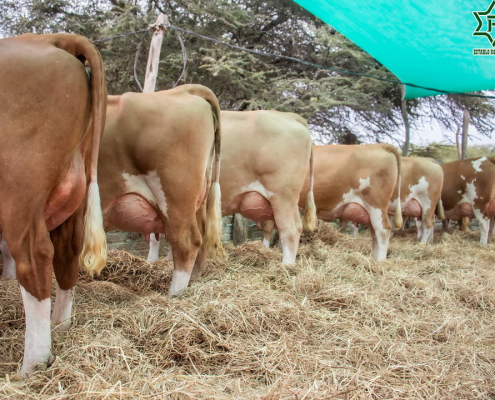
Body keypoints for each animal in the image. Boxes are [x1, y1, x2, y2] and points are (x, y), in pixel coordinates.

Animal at [0, 33, 108, 376]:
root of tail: (52, 38)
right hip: (75, 191)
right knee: (67, 252)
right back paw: (61, 325)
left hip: (19, 190)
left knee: (34, 258)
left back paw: (31, 366)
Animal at [99, 85, 223, 296]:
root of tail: (183, 90)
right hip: (199, 198)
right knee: (202, 237)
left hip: (174, 197)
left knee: (186, 242)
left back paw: (174, 295)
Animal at [149, 110, 316, 266]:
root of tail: (289, 116)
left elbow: (154, 236)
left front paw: (152, 261)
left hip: (283, 196)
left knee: (290, 230)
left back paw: (286, 266)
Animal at [266, 145, 402, 260]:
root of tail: (380, 145)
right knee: (375, 233)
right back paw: (373, 258)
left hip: (376, 204)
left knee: (383, 231)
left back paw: (380, 261)